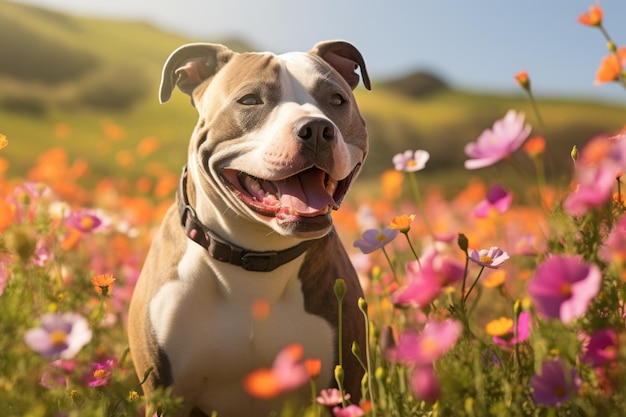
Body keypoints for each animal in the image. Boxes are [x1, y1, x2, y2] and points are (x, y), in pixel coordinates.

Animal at [129, 39, 368, 416]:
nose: (317, 129)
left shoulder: (344, 389)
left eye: (336, 100)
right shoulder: (163, 394)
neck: (255, 259)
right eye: (250, 100)